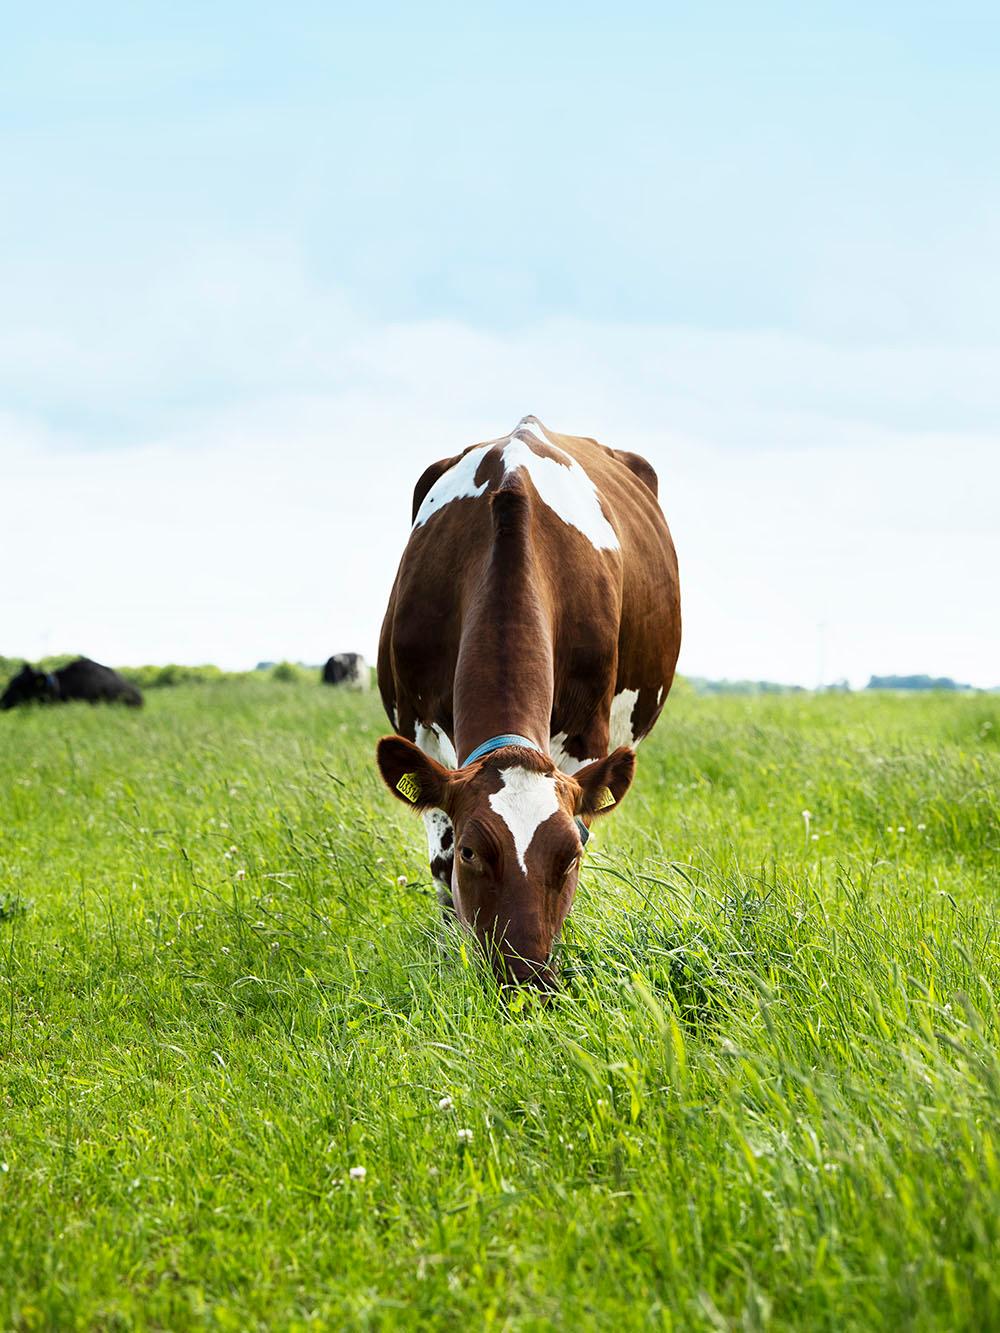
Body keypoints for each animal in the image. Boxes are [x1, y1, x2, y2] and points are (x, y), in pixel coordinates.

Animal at [376, 415, 682, 991]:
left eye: (570, 857)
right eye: (472, 851)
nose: (527, 981)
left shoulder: (587, 737)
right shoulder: (419, 730)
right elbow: (440, 865)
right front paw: (454, 960)